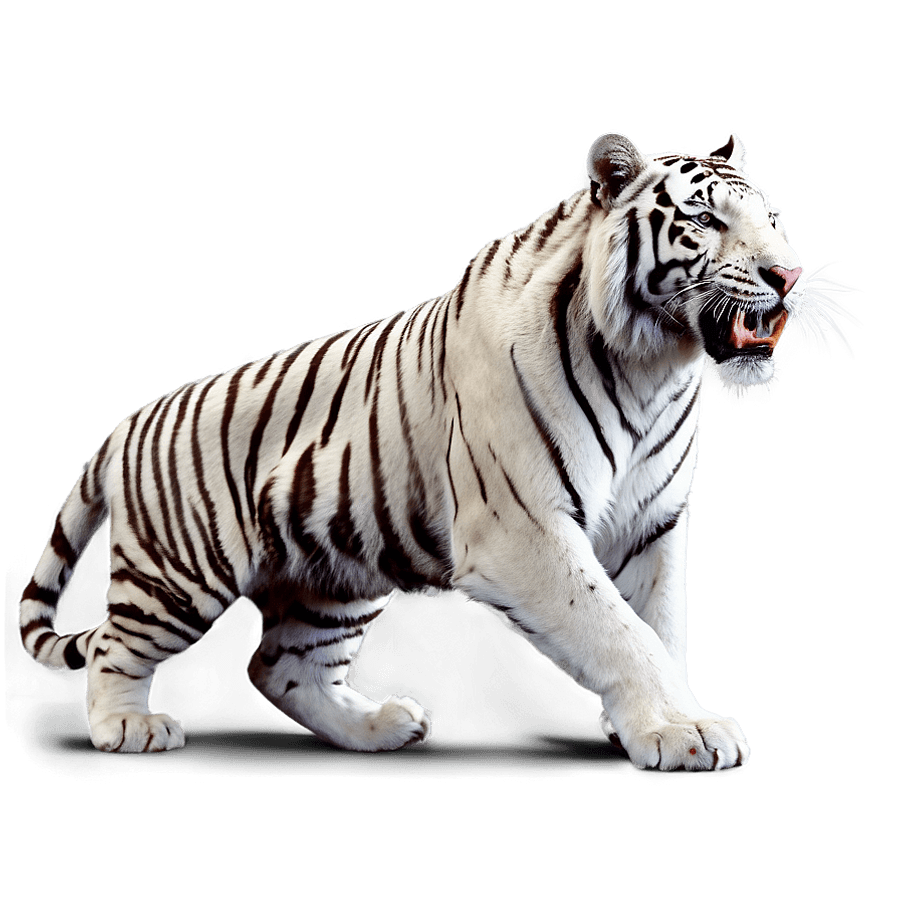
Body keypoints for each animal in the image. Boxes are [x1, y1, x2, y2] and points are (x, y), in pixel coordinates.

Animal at [17, 131, 858, 769]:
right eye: (707, 221)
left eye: (773, 219)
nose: (787, 276)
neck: (656, 369)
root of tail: (125, 423)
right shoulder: (522, 528)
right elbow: (619, 633)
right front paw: (686, 730)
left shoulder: (652, 526)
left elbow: (660, 630)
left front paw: (673, 722)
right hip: (181, 572)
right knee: (115, 645)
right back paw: (128, 727)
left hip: (335, 576)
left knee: (279, 666)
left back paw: (385, 728)